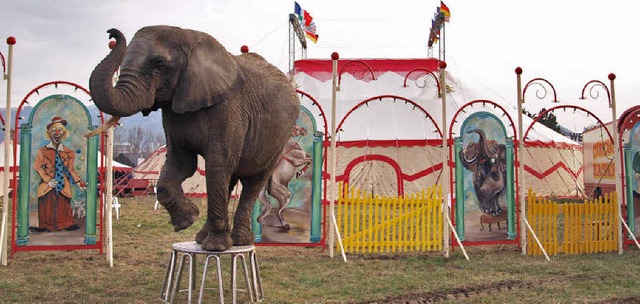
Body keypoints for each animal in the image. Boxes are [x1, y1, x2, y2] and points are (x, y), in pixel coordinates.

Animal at [86, 25, 302, 251]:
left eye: (159, 66)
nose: (111, 33)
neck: (188, 37)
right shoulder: (172, 112)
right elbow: (181, 163)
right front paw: (187, 221)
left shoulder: (229, 108)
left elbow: (217, 163)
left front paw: (215, 247)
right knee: (229, 179)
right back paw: (202, 238)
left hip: (278, 139)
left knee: (252, 180)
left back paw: (239, 241)